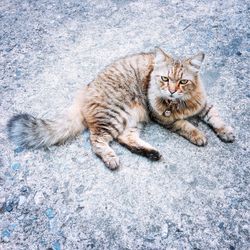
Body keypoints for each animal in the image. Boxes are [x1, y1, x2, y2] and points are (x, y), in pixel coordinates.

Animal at [7, 48, 234, 170]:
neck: (179, 103)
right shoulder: (165, 118)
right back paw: (111, 158)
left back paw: (152, 153)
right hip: (114, 116)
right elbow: (187, 126)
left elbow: (216, 117)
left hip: (133, 120)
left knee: (126, 138)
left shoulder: (203, 104)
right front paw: (199, 135)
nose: (171, 91)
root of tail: (84, 91)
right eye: (165, 79)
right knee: (97, 141)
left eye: (183, 82)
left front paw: (226, 132)